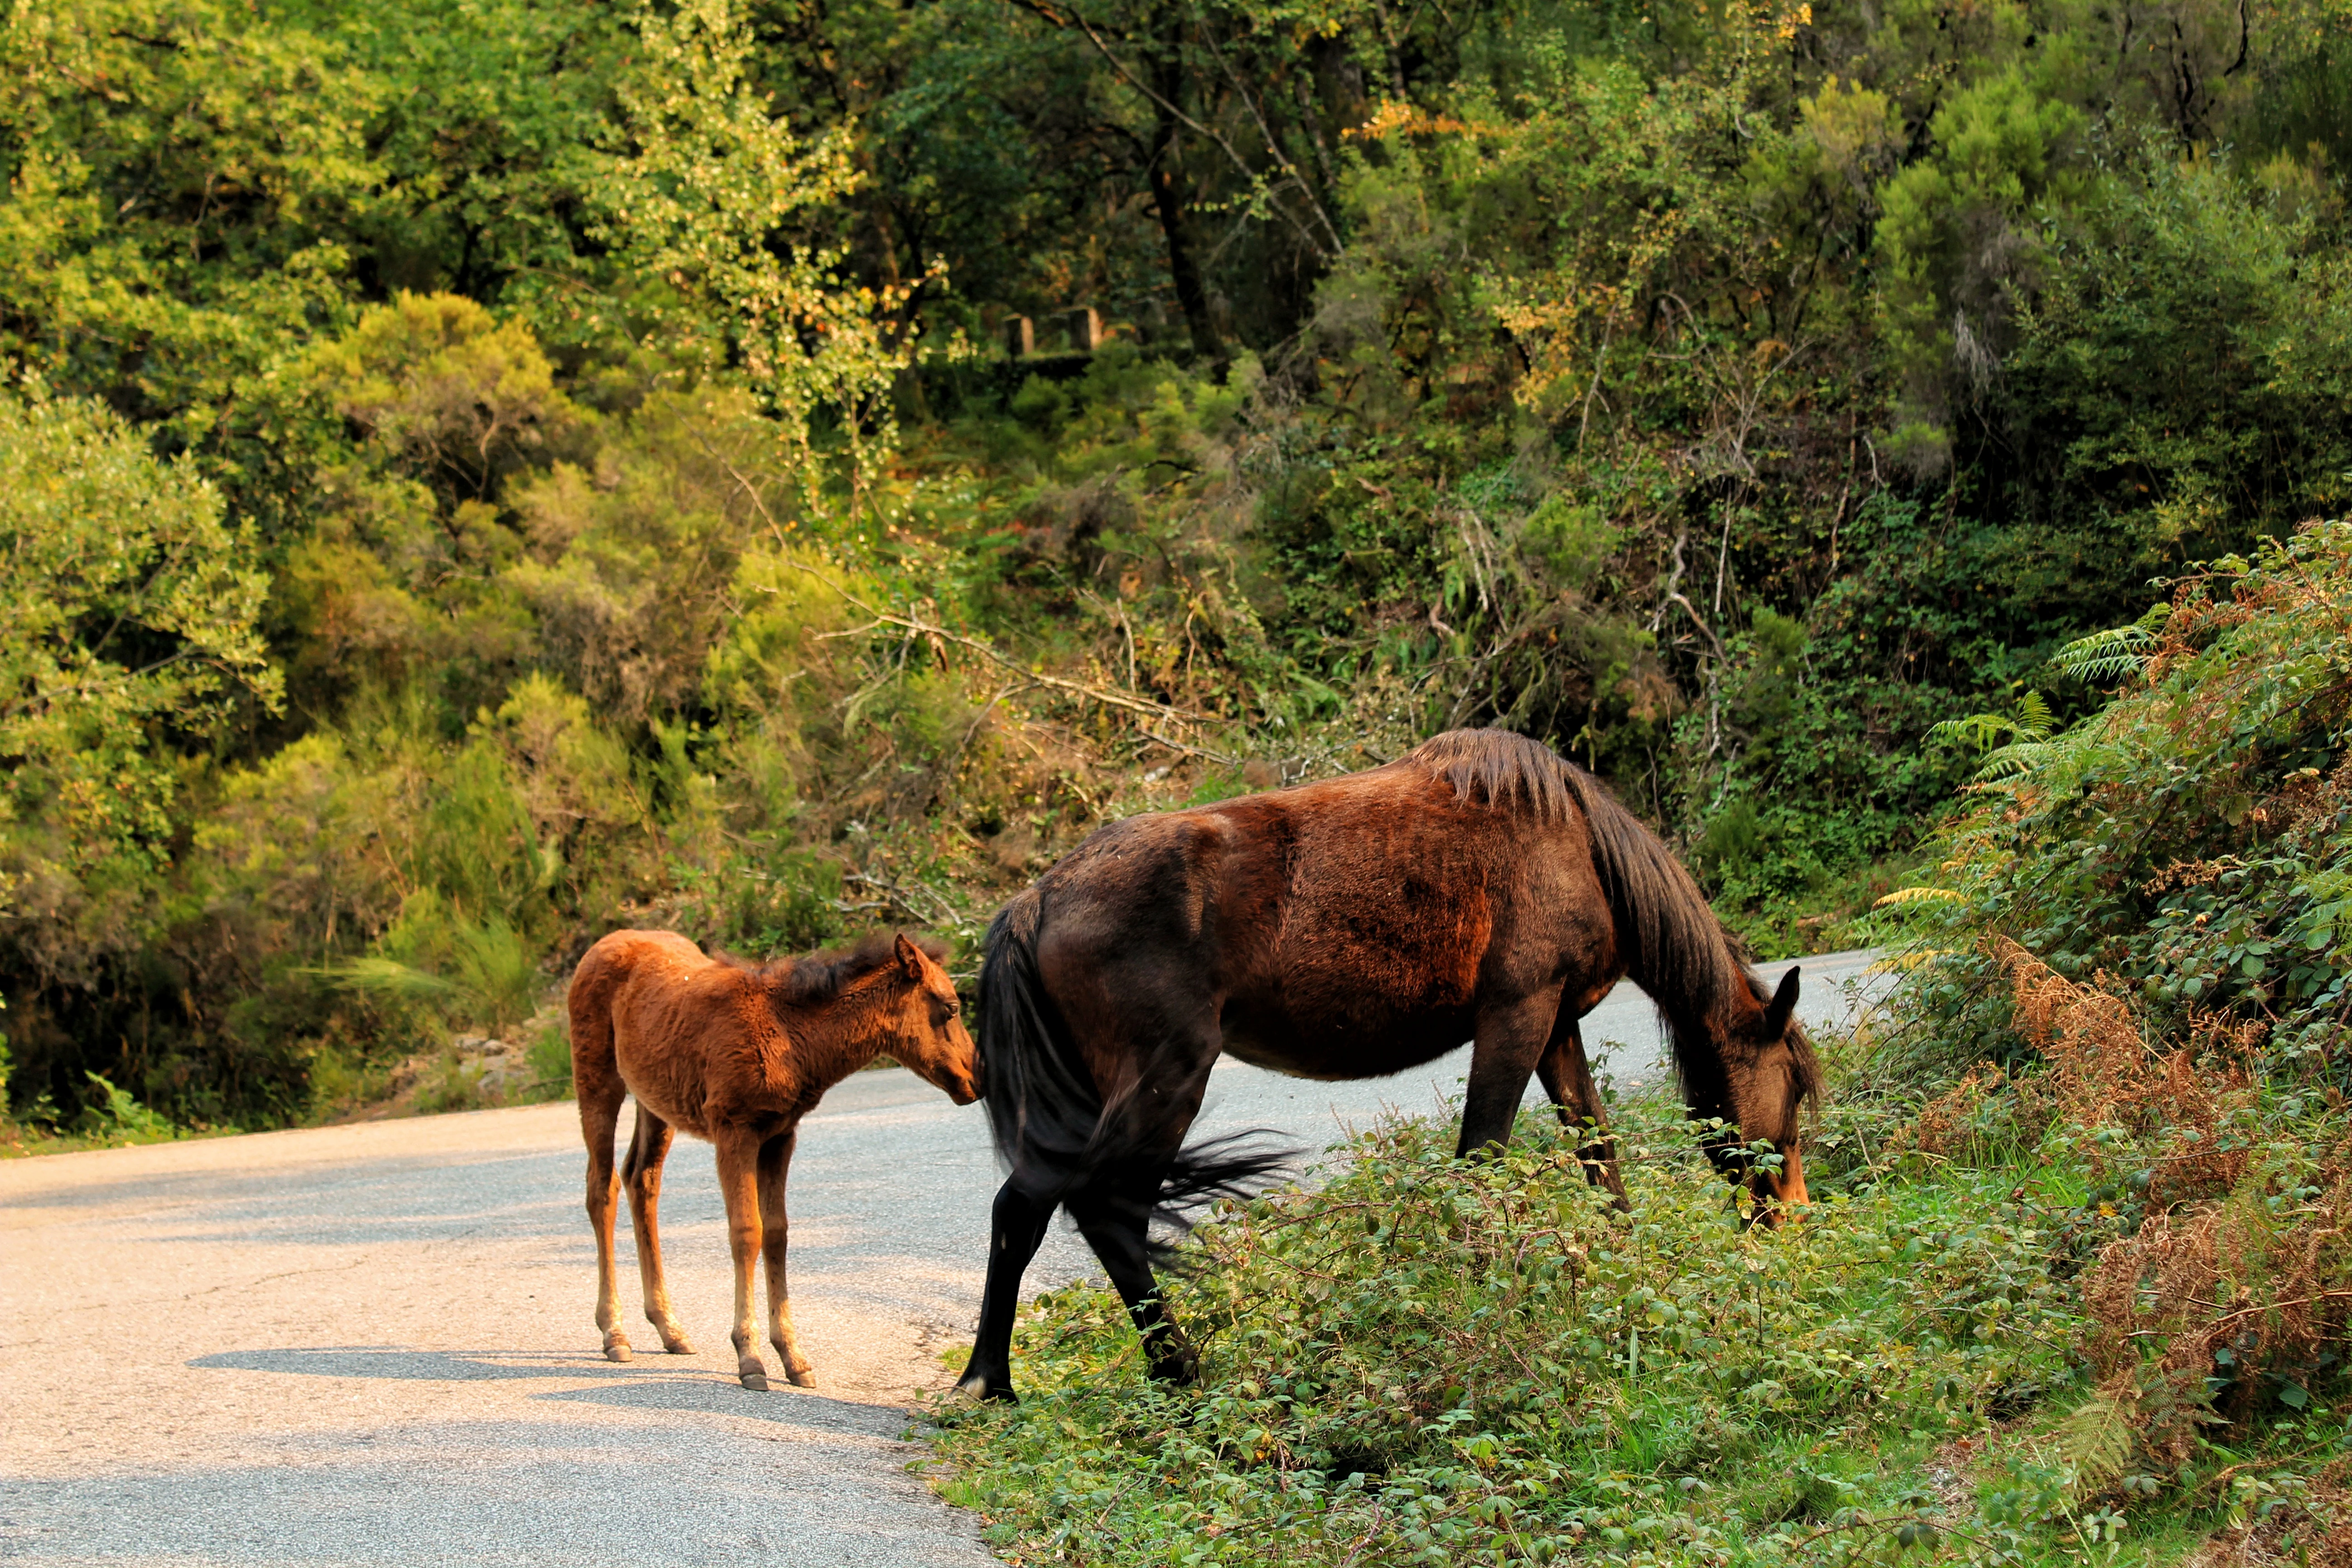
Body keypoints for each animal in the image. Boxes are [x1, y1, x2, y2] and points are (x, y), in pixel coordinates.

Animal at [569, 928, 980, 1391]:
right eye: (950, 1007)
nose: (977, 1077)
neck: (798, 1043)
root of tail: (599, 947)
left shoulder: (781, 1135)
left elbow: (777, 1234)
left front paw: (792, 1355)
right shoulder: (734, 1129)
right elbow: (747, 1233)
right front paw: (749, 1356)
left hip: (654, 1102)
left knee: (641, 1179)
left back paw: (669, 1327)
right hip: (597, 1078)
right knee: (601, 1188)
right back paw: (614, 1332)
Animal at [956, 727, 1819, 1402]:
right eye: (1794, 1094)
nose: (1793, 1219)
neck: (1578, 845)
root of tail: (1038, 898)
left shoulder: (1556, 1027)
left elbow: (1597, 1154)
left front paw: (1622, 1267)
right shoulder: (1517, 1015)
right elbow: (1482, 1161)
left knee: (1023, 1209)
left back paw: (990, 1380)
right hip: (1166, 1081)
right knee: (1105, 1211)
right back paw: (1177, 1369)